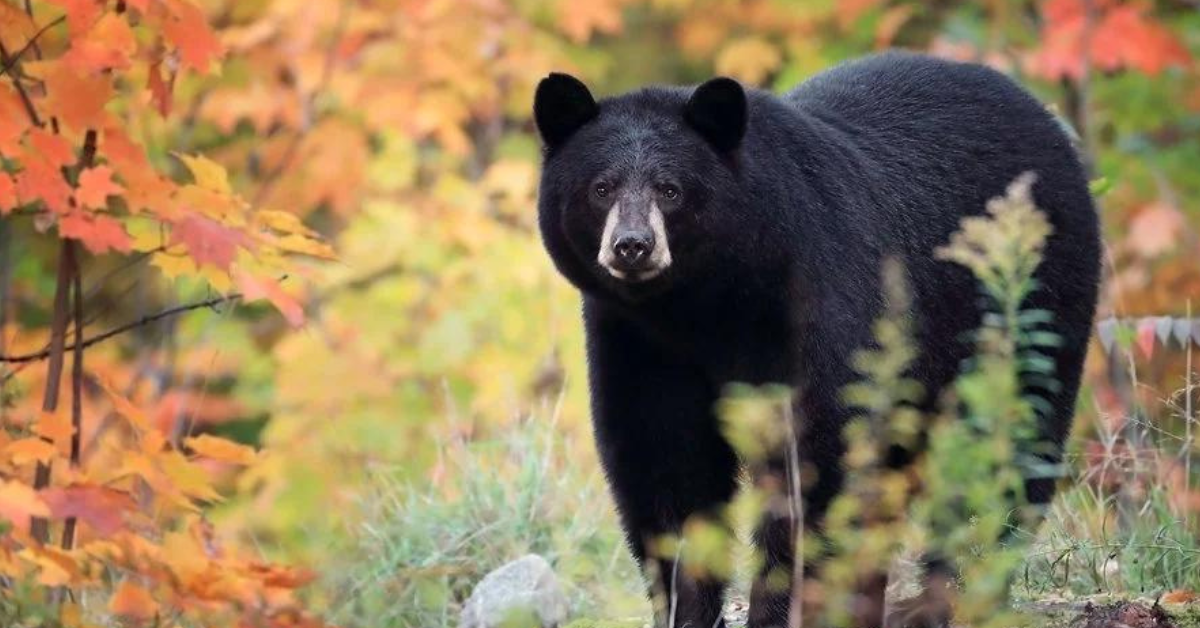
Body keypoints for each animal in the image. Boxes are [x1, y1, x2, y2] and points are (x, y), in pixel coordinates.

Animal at [532, 51, 1099, 624]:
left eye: (670, 190)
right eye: (601, 188)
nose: (632, 246)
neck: (705, 302)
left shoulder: (818, 299)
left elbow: (819, 457)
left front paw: (780, 607)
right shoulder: (637, 341)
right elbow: (665, 461)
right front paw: (683, 607)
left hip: (1029, 304)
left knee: (1007, 441)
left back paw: (956, 593)